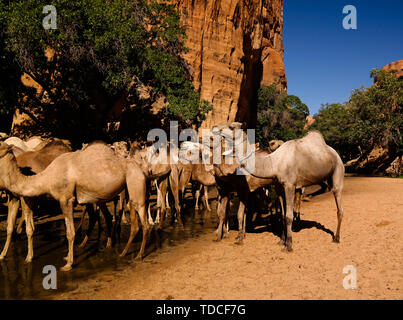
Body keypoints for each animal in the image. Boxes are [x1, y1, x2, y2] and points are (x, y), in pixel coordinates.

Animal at [0, 142, 149, 270]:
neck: (47, 178)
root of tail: (143, 168)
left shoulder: (66, 199)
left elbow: (70, 233)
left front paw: (68, 264)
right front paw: (67, 258)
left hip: (135, 182)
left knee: (144, 223)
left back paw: (138, 255)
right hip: (126, 190)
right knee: (130, 222)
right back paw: (122, 252)